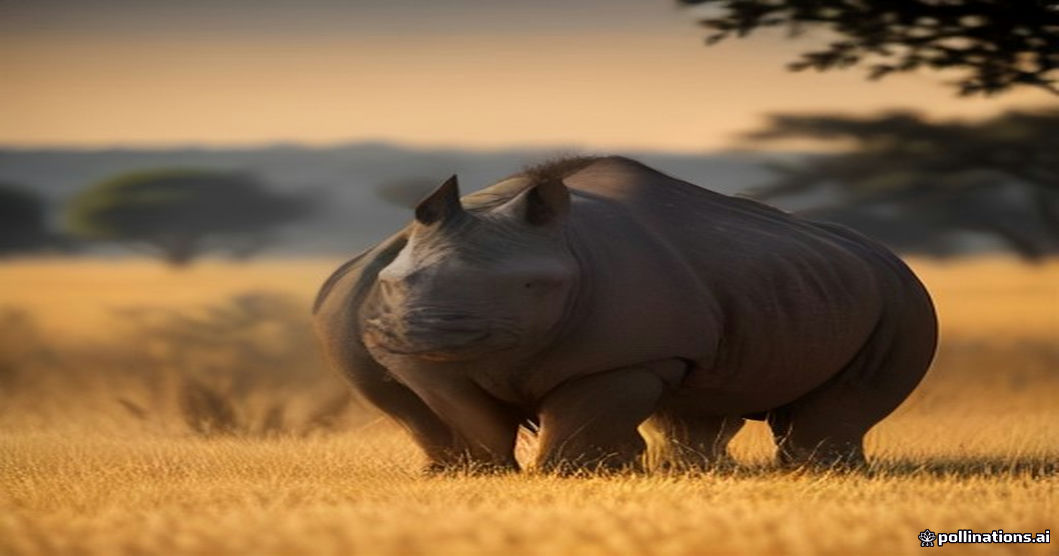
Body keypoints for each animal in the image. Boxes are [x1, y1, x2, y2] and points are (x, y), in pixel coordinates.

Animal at [313, 156, 937, 473]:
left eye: (530, 286)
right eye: (393, 285)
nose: (426, 329)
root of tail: (881, 251)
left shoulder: (623, 355)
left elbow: (589, 410)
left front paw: (576, 477)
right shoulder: (418, 355)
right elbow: (461, 411)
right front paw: (482, 476)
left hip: (902, 293)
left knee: (849, 395)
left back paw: (822, 472)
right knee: (699, 399)